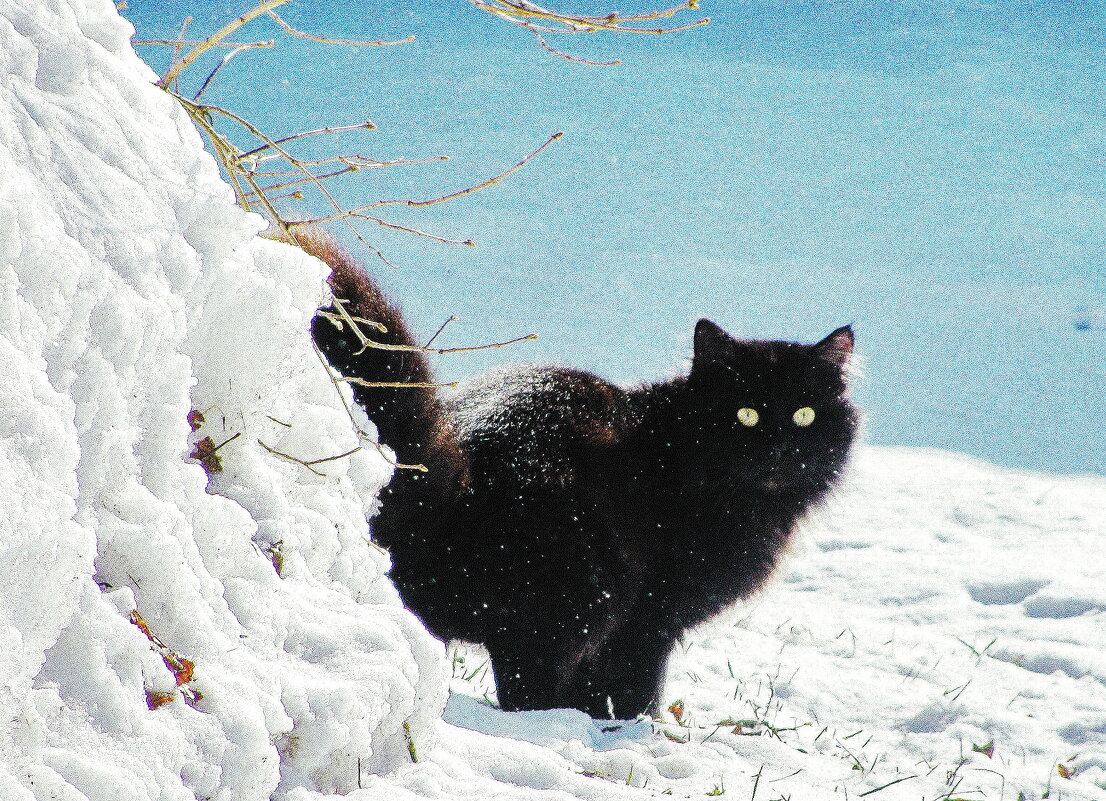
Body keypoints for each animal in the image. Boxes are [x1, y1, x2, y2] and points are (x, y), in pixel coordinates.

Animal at [307, 234, 858, 716]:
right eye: (745, 414)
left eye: (804, 415)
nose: (778, 448)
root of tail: (450, 481)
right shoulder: (649, 616)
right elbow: (637, 686)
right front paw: (636, 731)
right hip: (577, 597)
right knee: (529, 690)